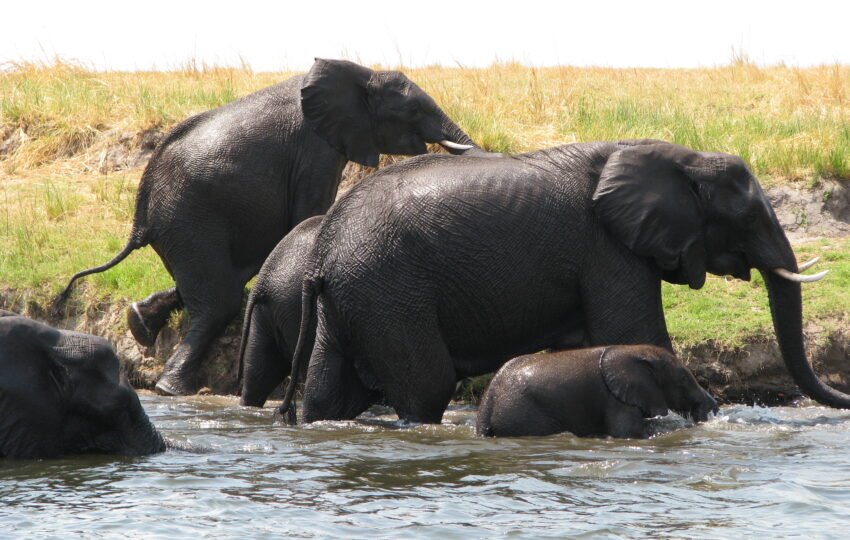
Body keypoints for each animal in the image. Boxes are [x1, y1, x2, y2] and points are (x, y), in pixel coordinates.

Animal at [278, 139, 835, 425]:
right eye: (748, 215)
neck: (679, 155)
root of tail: (324, 251)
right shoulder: (608, 247)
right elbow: (635, 334)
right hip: (388, 290)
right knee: (427, 386)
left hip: (354, 296)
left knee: (331, 391)